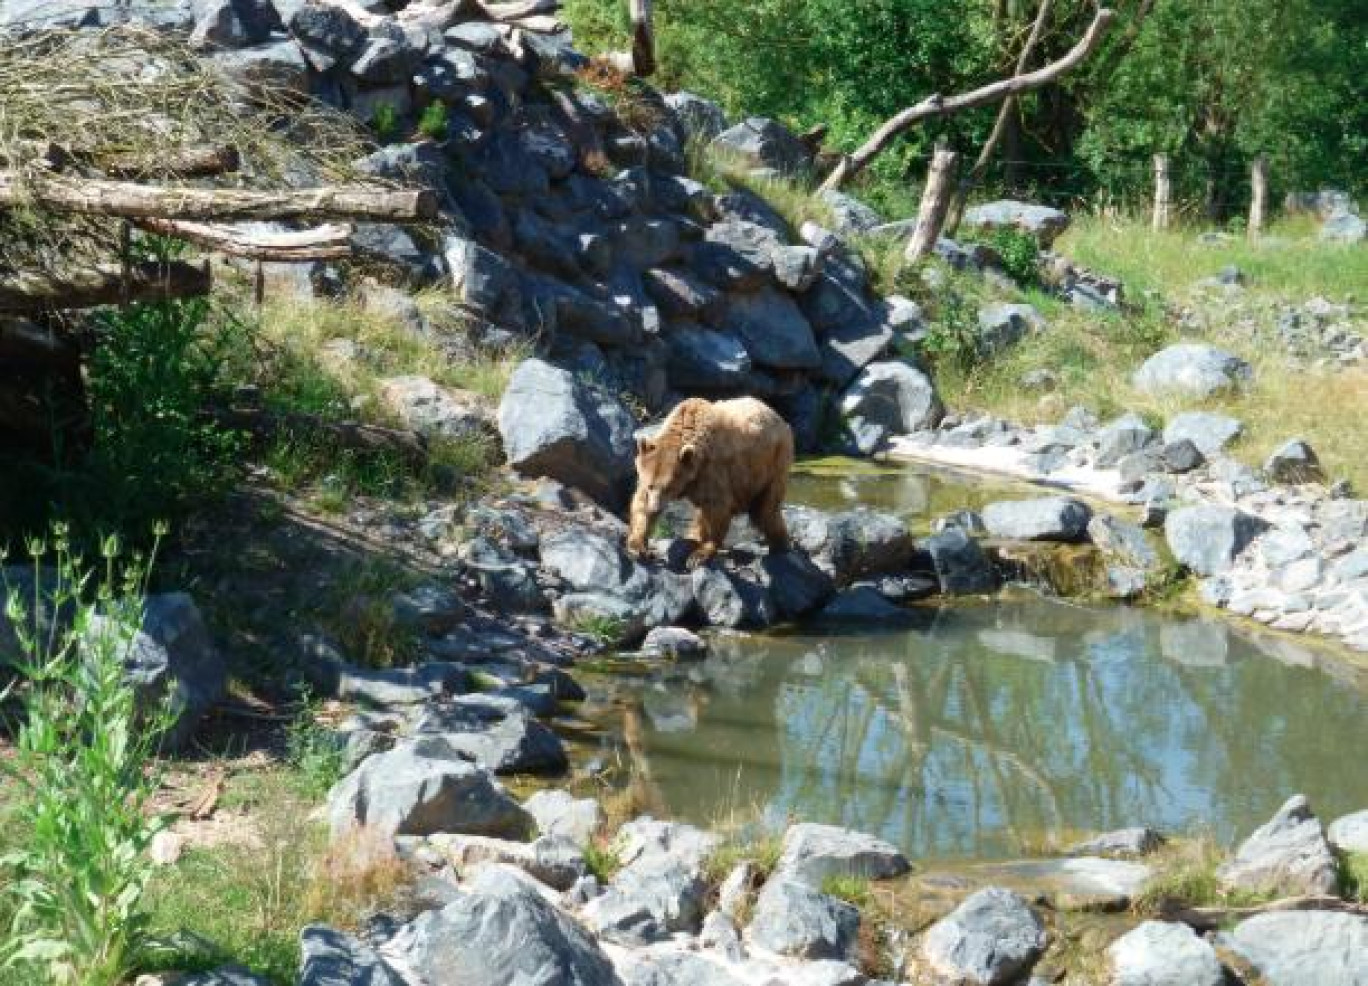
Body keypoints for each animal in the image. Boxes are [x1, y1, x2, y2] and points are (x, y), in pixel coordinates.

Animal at [626, 399, 798, 568]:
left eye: (669, 488)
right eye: (650, 486)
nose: (655, 508)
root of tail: (777, 415)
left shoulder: (713, 469)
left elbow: (717, 508)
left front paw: (699, 555)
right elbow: (640, 503)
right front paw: (637, 546)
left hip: (773, 463)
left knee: (767, 509)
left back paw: (780, 545)